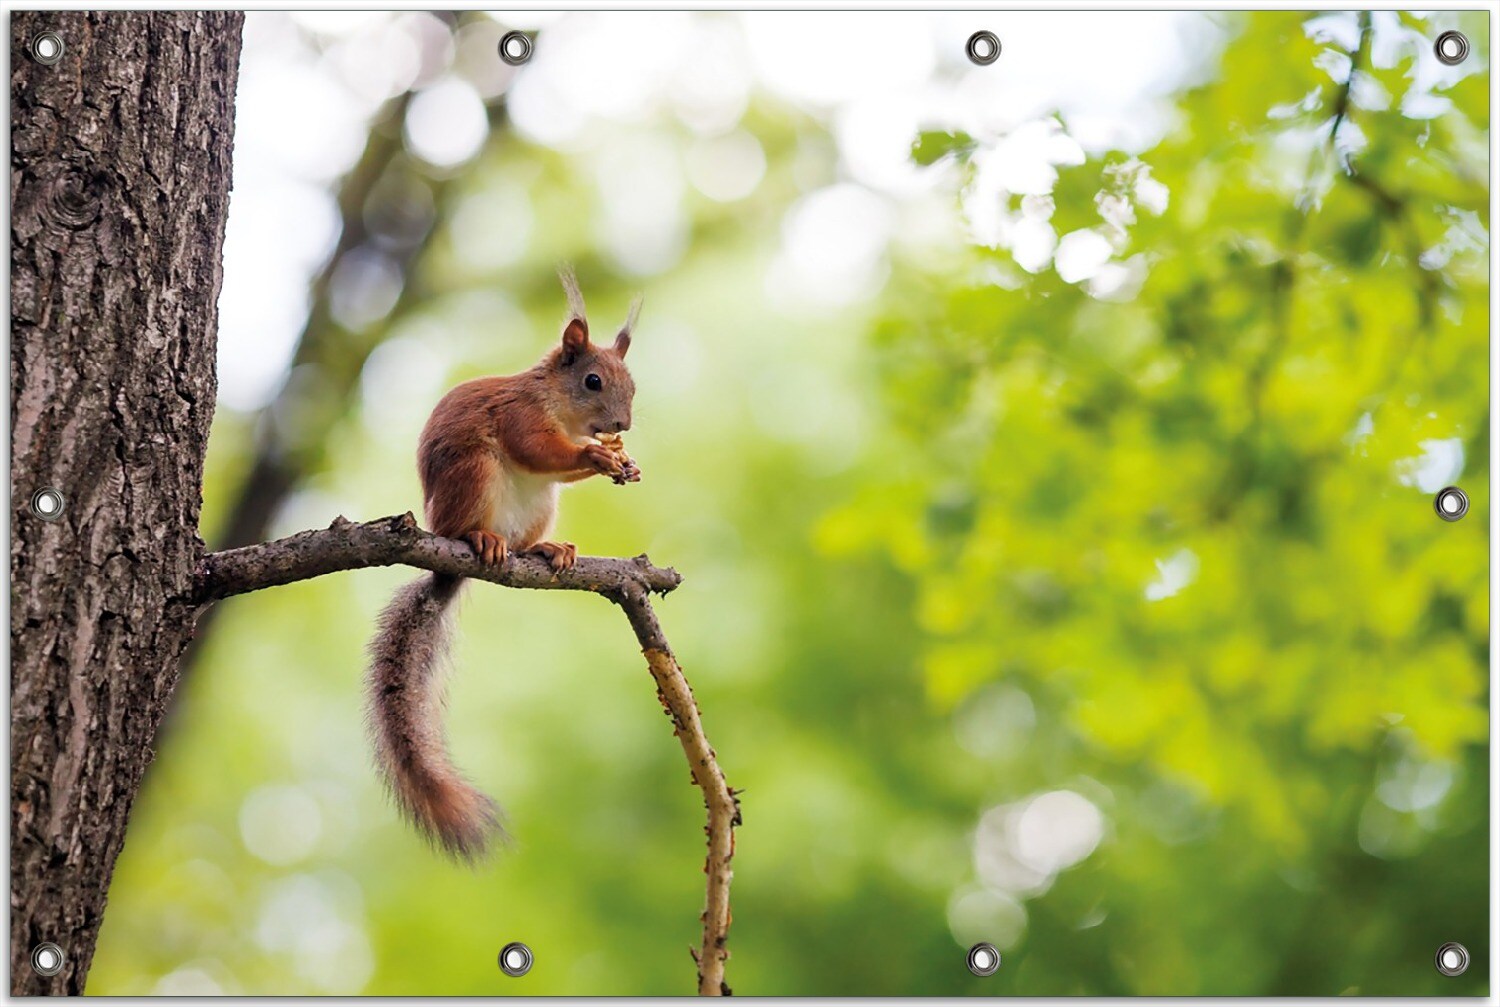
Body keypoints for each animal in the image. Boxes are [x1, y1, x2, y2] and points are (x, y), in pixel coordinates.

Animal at [366, 267, 642, 859]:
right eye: (592, 381)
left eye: (633, 384)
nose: (623, 424)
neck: (556, 402)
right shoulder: (519, 415)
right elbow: (538, 448)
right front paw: (596, 455)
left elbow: (560, 467)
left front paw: (621, 461)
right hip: (473, 474)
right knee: (470, 525)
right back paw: (481, 539)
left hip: (541, 507)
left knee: (525, 541)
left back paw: (545, 550)